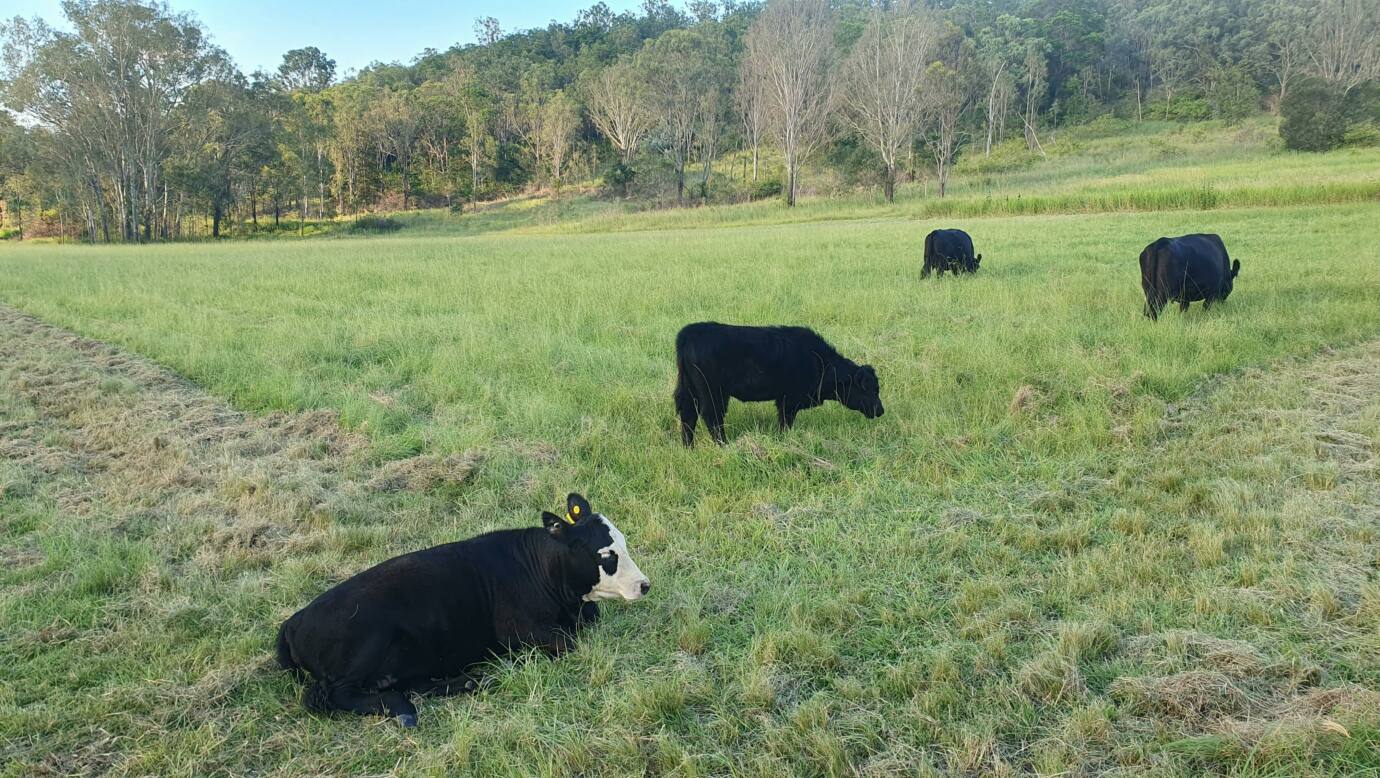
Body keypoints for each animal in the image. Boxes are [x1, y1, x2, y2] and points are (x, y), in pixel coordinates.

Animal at [276, 493, 650, 727]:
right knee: (333, 694)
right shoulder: (522, 632)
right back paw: (404, 709)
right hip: (368, 642)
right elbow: (570, 643)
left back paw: (467, 682)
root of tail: (294, 620)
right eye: (606, 555)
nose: (644, 585)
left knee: (410, 683)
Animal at [673, 322, 884, 446]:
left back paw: (688, 447)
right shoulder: (788, 401)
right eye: (868, 389)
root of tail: (690, 332)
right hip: (713, 393)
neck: (820, 362)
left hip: (689, 391)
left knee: (688, 416)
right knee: (712, 417)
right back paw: (723, 444)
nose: (881, 411)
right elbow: (785, 422)